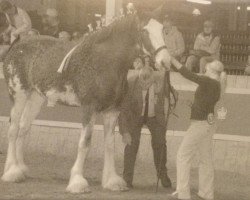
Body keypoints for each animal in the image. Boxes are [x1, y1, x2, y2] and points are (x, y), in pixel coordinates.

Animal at [0, 12, 171, 194]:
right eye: (145, 31)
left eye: (163, 30)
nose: (166, 61)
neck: (105, 63)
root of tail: (17, 46)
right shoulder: (89, 108)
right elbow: (85, 143)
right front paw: (77, 182)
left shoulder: (112, 111)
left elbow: (110, 144)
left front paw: (111, 181)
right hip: (19, 95)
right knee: (13, 129)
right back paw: (11, 172)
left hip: (35, 98)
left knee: (23, 128)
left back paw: (21, 169)